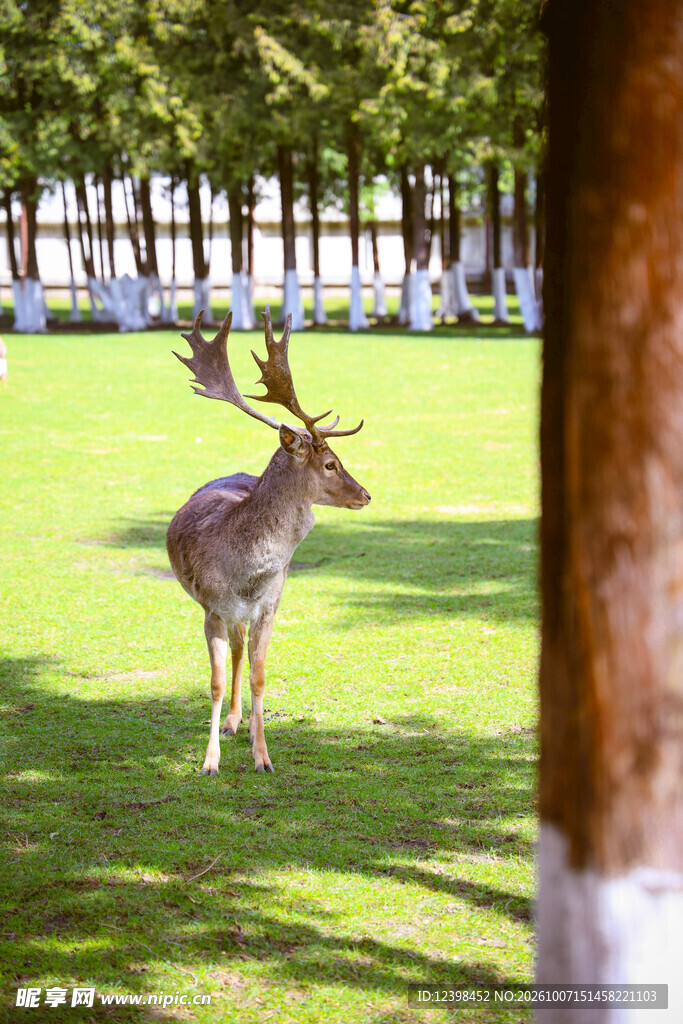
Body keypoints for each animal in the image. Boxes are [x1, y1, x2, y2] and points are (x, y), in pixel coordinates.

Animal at [167, 306, 371, 775]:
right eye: (330, 464)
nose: (367, 494)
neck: (246, 575)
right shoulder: (212, 608)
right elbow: (215, 682)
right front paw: (210, 761)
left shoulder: (270, 606)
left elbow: (260, 676)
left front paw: (262, 756)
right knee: (236, 652)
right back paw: (230, 723)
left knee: (243, 653)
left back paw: (240, 725)